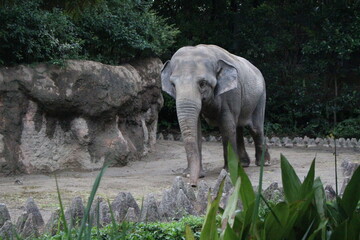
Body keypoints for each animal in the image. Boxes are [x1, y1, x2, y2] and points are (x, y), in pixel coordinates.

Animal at [161, 45, 270, 188]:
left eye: (202, 83)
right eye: (173, 85)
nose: (192, 184)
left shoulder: (231, 93)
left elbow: (227, 127)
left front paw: (229, 172)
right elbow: (197, 128)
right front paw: (191, 174)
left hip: (261, 96)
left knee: (255, 129)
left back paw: (264, 163)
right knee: (239, 128)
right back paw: (244, 164)